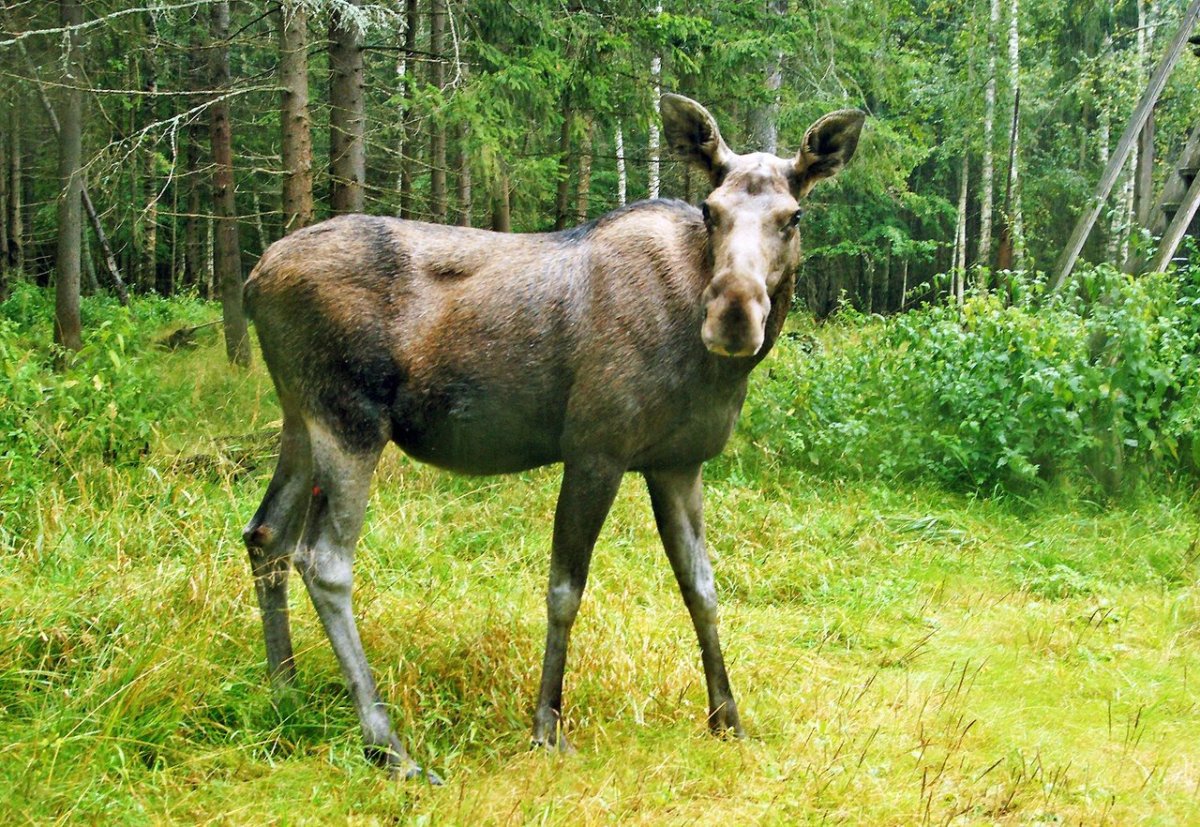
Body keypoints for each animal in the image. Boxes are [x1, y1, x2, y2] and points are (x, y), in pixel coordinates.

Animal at [241, 94, 864, 781]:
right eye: (710, 209)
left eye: (793, 215)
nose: (732, 314)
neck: (711, 369)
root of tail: (252, 281)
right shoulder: (596, 448)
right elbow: (565, 590)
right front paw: (546, 727)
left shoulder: (678, 462)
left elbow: (702, 589)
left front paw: (727, 718)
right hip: (349, 417)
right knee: (323, 559)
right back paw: (388, 745)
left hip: (299, 417)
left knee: (265, 534)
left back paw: (285, 688)